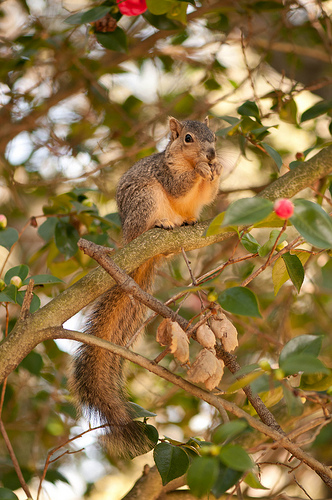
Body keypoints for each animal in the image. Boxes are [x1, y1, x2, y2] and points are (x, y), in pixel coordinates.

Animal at [71, 115, 223, 458]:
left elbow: (206, 195)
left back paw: (185, 222)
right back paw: (162, 223)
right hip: (145, 200)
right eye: (188, 138)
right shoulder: (165, 174)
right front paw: (201, 170)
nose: (211, 155)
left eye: (214, 136)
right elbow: (180, 187)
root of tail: (131, 242)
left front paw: (217, 169)